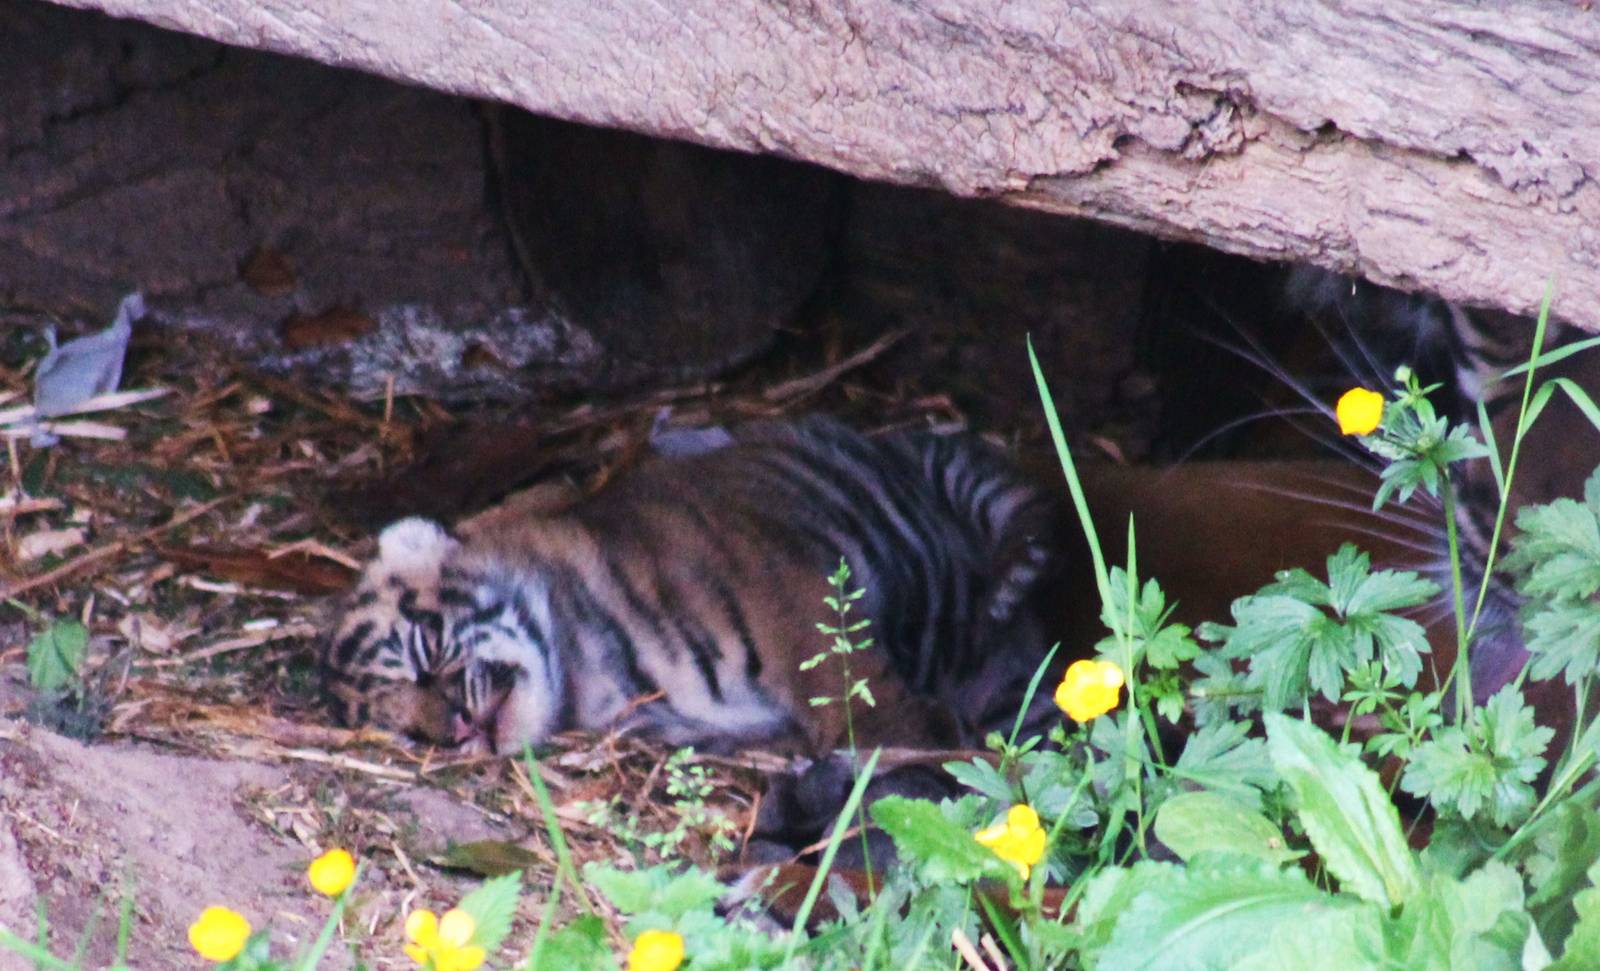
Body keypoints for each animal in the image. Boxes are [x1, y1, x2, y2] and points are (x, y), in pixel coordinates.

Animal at [321, 415, 1059, 756]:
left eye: (423, 649)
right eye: (408, 733)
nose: (455, 730)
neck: (590, 674)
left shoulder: (780, 574)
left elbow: (837, 670)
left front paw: (899, 741)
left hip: (943, 468)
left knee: (1019, 500)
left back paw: (1010, 571)